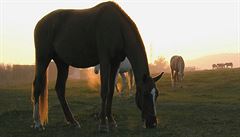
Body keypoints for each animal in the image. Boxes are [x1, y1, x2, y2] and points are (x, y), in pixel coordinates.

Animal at [31, 0, 163, 132]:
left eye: (156, 94)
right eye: (145, 93)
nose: (153, 123)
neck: (117, 27)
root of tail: (40, 23)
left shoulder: (115, 63)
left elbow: (111, 91)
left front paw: (111, 121)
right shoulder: (105, 61)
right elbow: (104, 90)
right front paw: (103, 124)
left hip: (62, 63)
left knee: (60, 89)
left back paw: (73, 121)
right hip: (43, 58)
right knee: (37, 86)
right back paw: (37, 123)